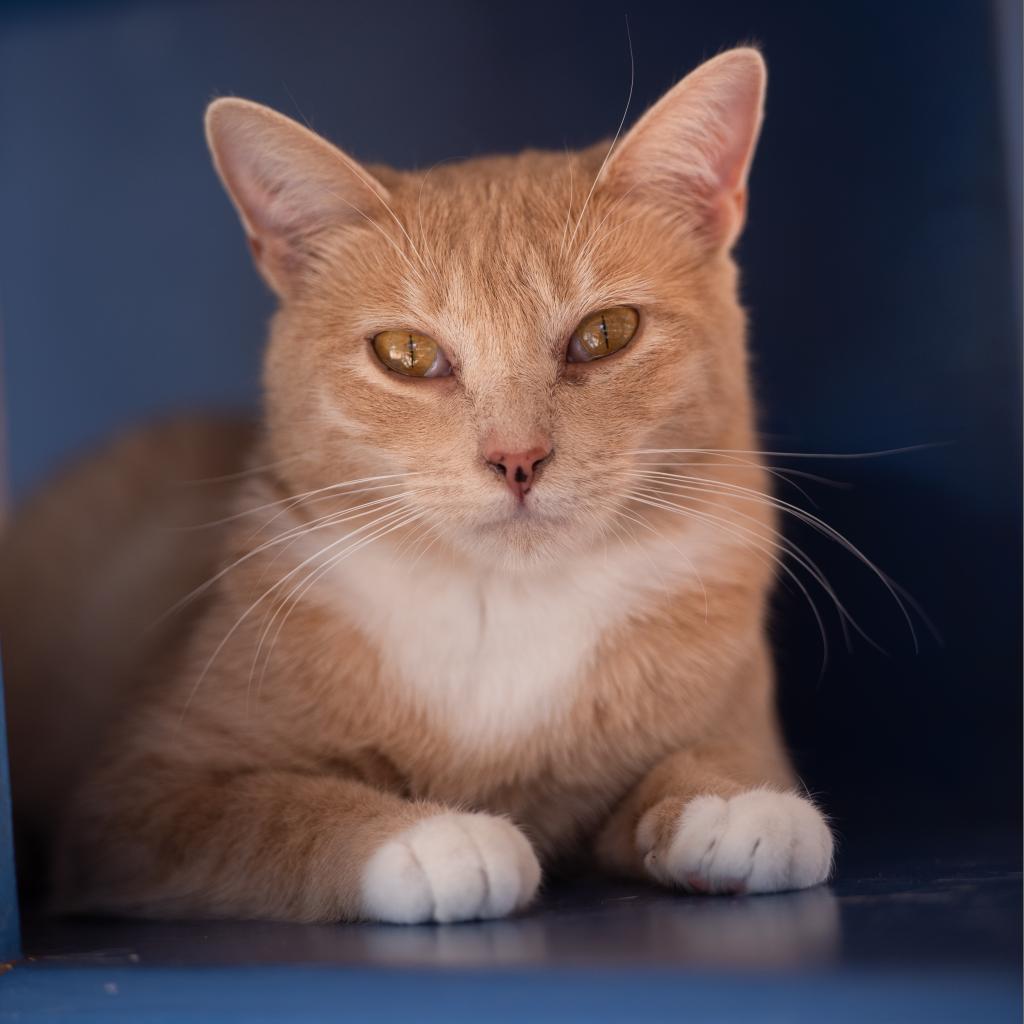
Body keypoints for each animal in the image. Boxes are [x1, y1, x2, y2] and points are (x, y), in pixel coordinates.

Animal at [0, 48, 831, 925]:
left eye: (606, 333)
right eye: (405, 352)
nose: (517, 458)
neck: (504, 606)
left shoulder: (732, 718)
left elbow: (712, 756)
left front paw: (739, 805)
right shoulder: (134, 798)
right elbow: (278, 810)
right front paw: (433, 838)